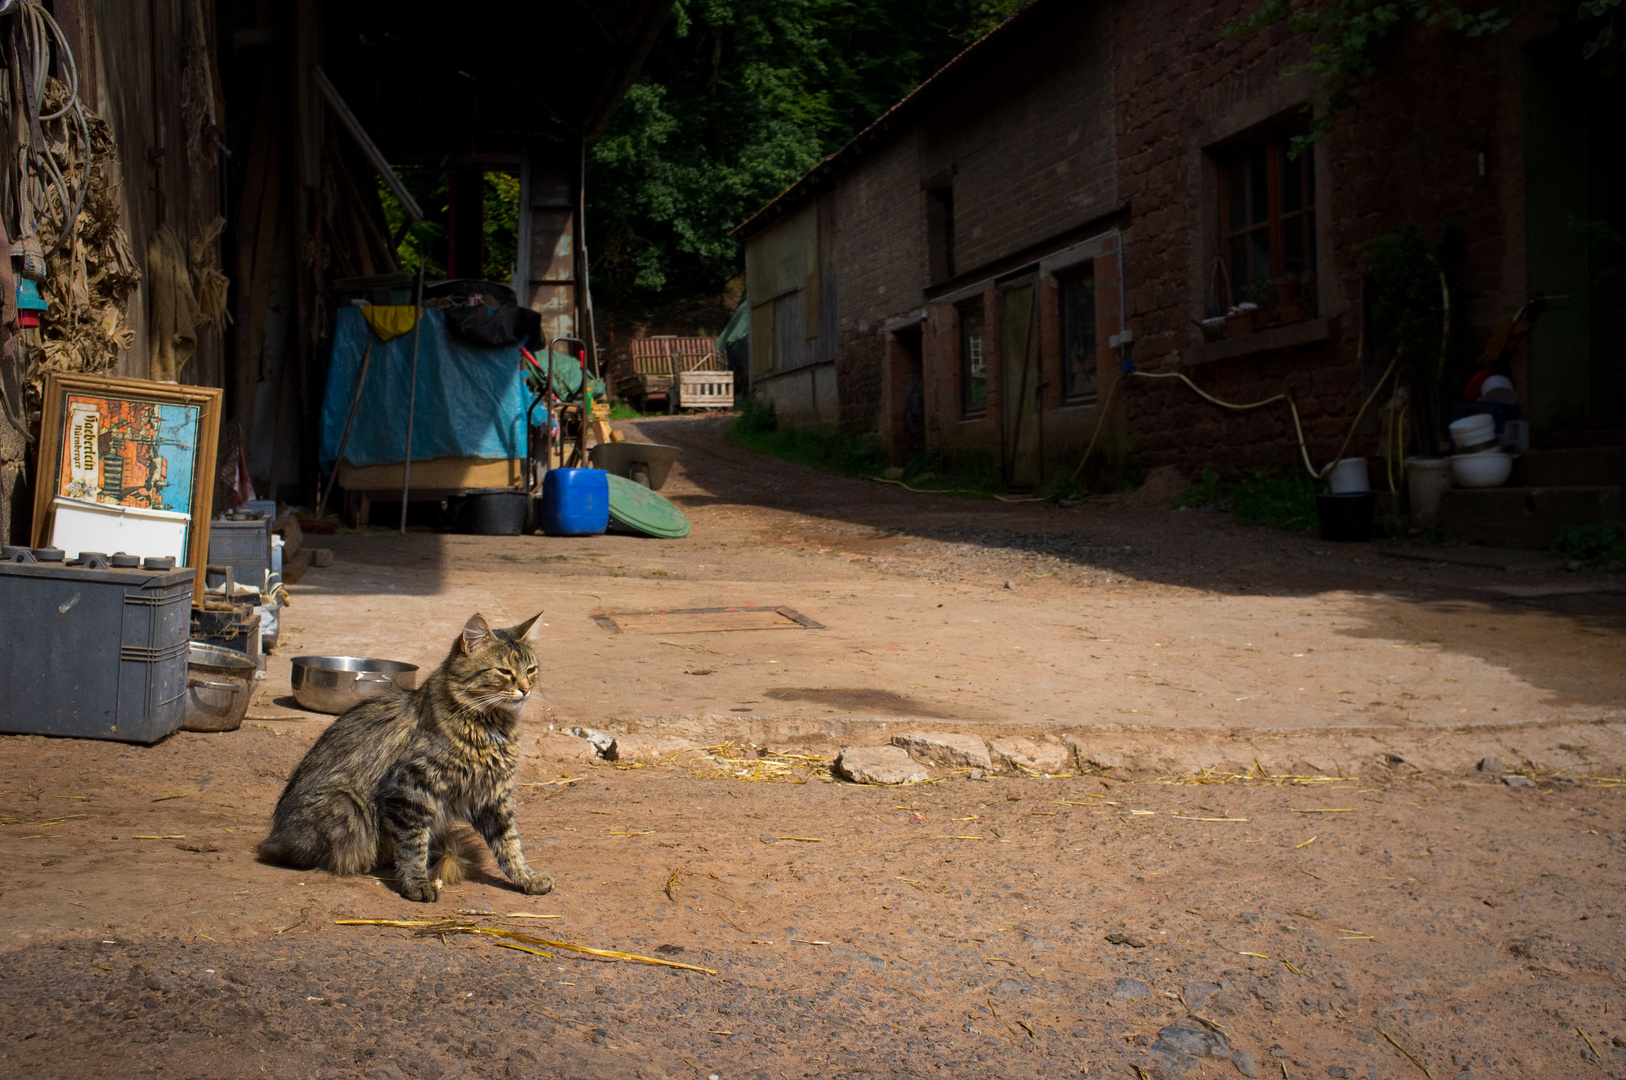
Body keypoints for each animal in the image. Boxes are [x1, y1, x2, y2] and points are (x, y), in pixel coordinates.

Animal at [256, 611, 556, 897]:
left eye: (531, 670)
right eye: (505, 671)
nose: (525, 689)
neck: (491, 727)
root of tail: (275, 836)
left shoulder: (493, 796)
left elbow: (510, 845)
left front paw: (527, 878)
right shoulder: (409, 789)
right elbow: (413, 845)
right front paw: (416, 884)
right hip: (346, 803)